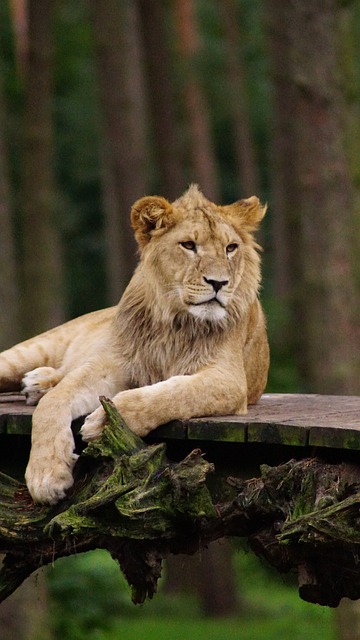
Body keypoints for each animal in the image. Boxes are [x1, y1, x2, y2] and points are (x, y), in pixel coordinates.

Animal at [0, 185, 270, 504]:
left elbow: (172, 394)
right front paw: (46, 473)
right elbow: (54, 402)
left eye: (231, 248)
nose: (219, 283)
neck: (175, 322)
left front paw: (105, 422)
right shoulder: (113, 362)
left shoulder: (228, 379)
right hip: (31, 351)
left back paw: (37, 384)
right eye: (189, 245)